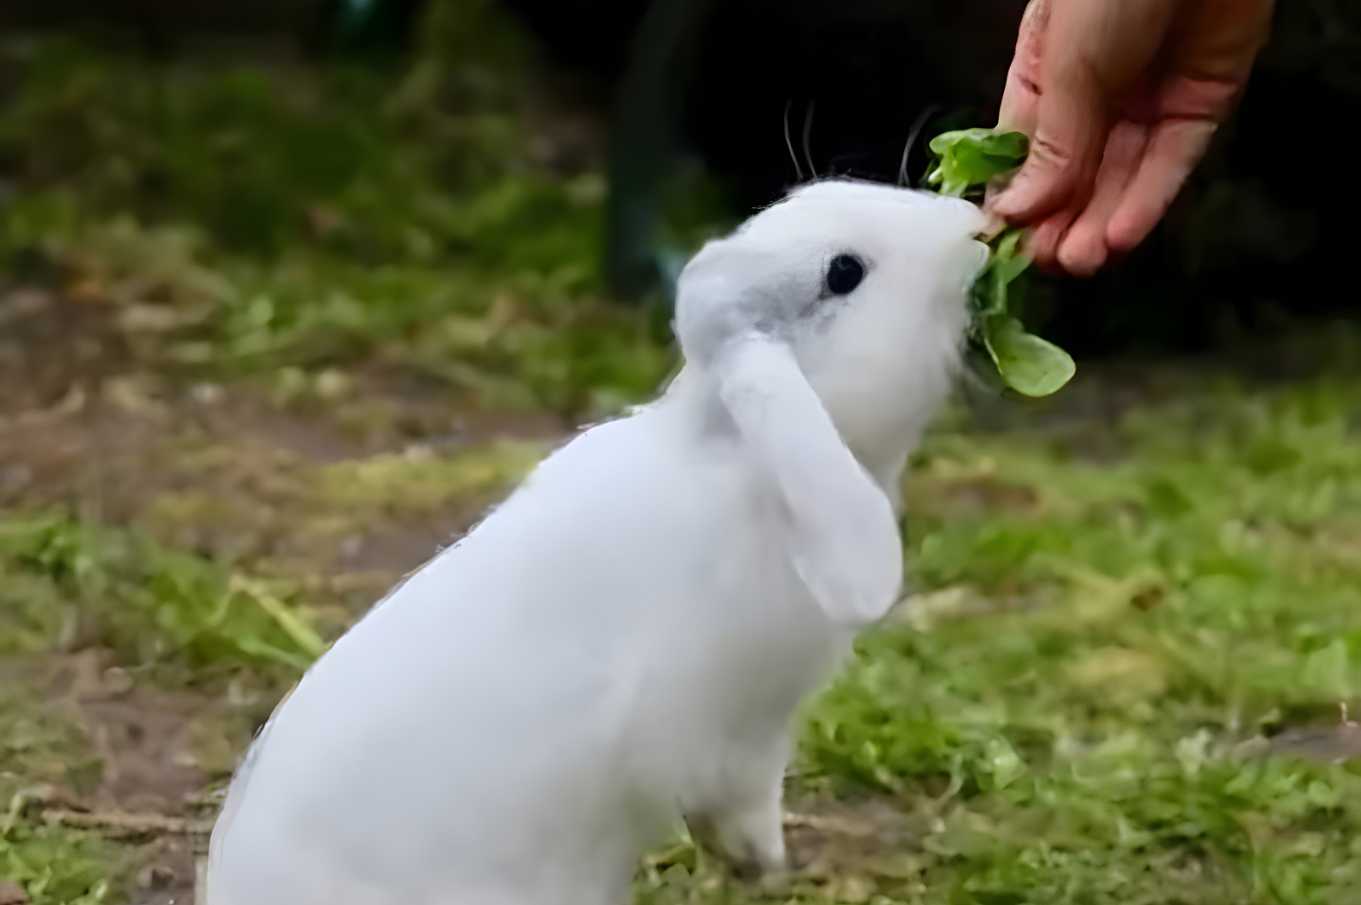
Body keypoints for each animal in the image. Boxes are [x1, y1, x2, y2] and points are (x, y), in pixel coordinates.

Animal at [204, 179, 990, 903]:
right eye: (844, 272)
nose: (973, 225)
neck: (739, 458)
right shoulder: (742, 736)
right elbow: (744, 805)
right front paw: (763, 864)